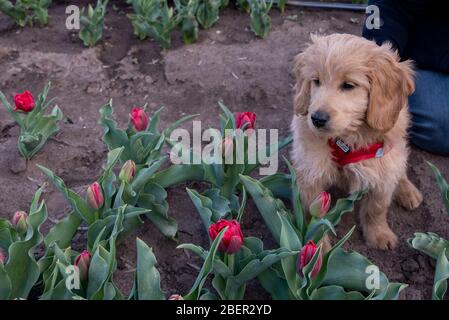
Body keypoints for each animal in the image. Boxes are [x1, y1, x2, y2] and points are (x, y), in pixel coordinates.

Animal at [292, 35, 422, 250]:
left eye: (348, 85)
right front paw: (318, 249)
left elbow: (376, 207)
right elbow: (314, 217)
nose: (317, 119)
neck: (347, 138)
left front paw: (379, 234)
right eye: (316, 81)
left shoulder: (382, 168)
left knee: (400, 168)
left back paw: (408, 191)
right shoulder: (311, 171)